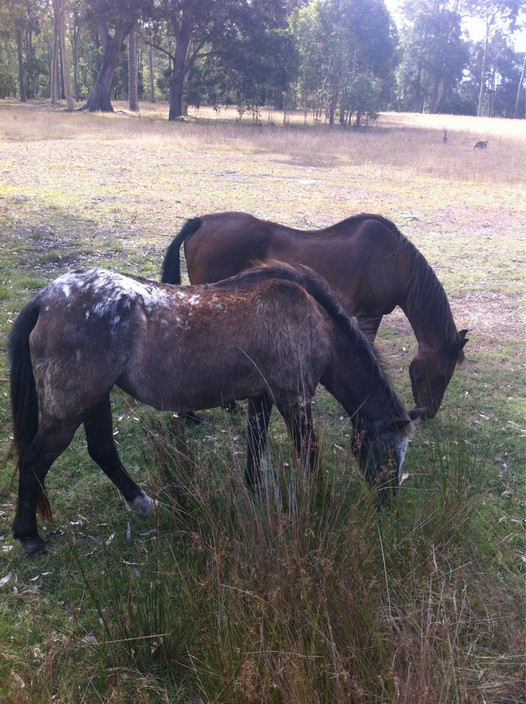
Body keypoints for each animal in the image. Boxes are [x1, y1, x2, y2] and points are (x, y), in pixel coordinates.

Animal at [9, 264, 420, 556]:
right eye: (388, 454)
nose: (386, 506)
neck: (312, 318)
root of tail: (46, 297)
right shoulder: (293, 398)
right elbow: (309, 454)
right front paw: (322, 504)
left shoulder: (263, 396)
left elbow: (255, 442)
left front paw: (254, 491)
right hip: (69, 409)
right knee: (34, 460)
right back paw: (29, 537)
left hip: (95, 399)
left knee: (102, 451)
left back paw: (142, 503)